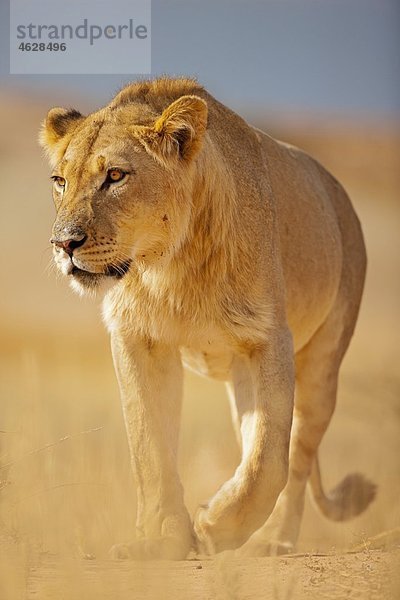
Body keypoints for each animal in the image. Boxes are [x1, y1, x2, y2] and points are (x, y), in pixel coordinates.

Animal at [39, 77, 376, 560]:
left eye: (116, 176)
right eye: (60, 181)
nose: (64, 243)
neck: (170, 265)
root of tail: (339, 193)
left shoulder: (269, 337)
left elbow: (269, 458)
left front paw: (218, 525)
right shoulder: (139, 338)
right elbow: (151, 447)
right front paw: (163, 540)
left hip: (322, 365)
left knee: (297, 456)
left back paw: (272, 540)